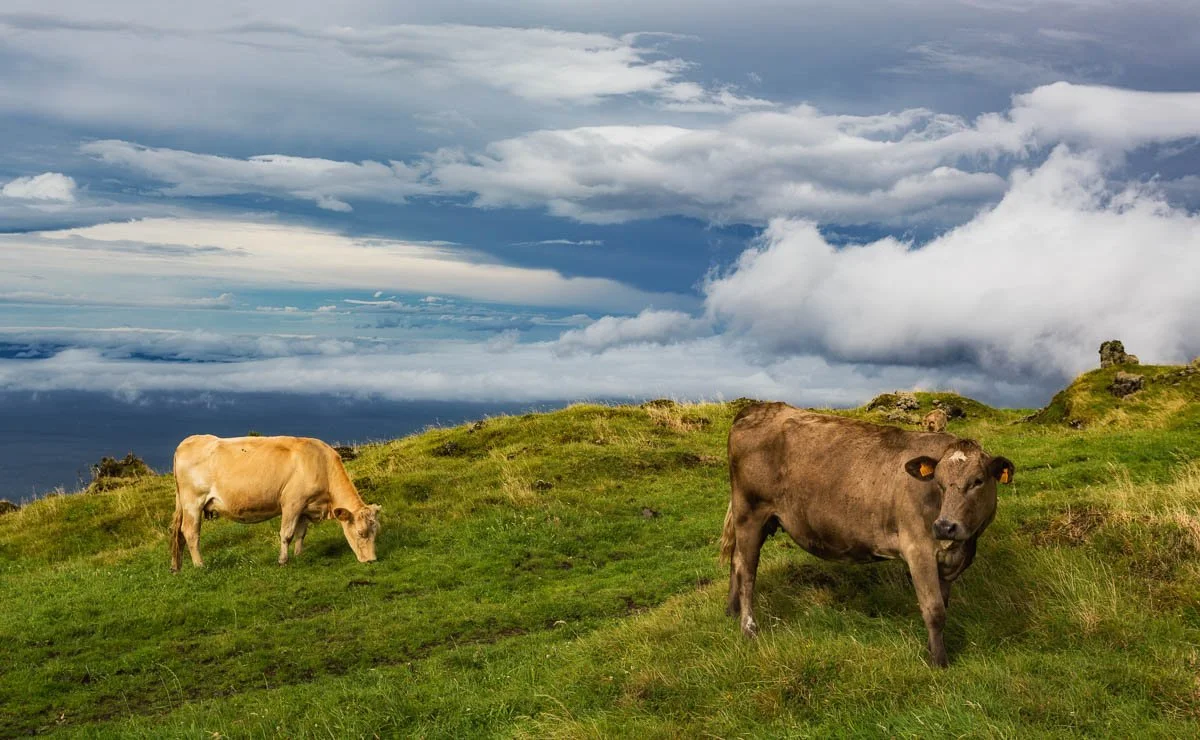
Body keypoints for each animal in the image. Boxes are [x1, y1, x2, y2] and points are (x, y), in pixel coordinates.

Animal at [170, 435, 381, 572]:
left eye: (375, 531)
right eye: (361, 533)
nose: (372, 560)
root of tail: (188, 441)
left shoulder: (305, 507)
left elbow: (301, 534)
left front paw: (299, 555)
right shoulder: (292, 502)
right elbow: (286, 534)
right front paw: (282, 560)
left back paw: (176, 566)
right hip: (193, 502)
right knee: (190, 533)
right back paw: (200, 565)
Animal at [720, 403, 1013, 667]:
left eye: (978, 481)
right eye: (938, 483)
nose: (944, 526)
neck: (963, 547)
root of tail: (758, 408)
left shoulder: (948, 562)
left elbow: (944, 604)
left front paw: (932, 649)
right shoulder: (918, 550)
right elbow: (934, 610)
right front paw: (939, 662)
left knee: (736, 561)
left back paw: (731, 612)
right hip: (750, 513)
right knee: (747, 571)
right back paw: (748, 629)